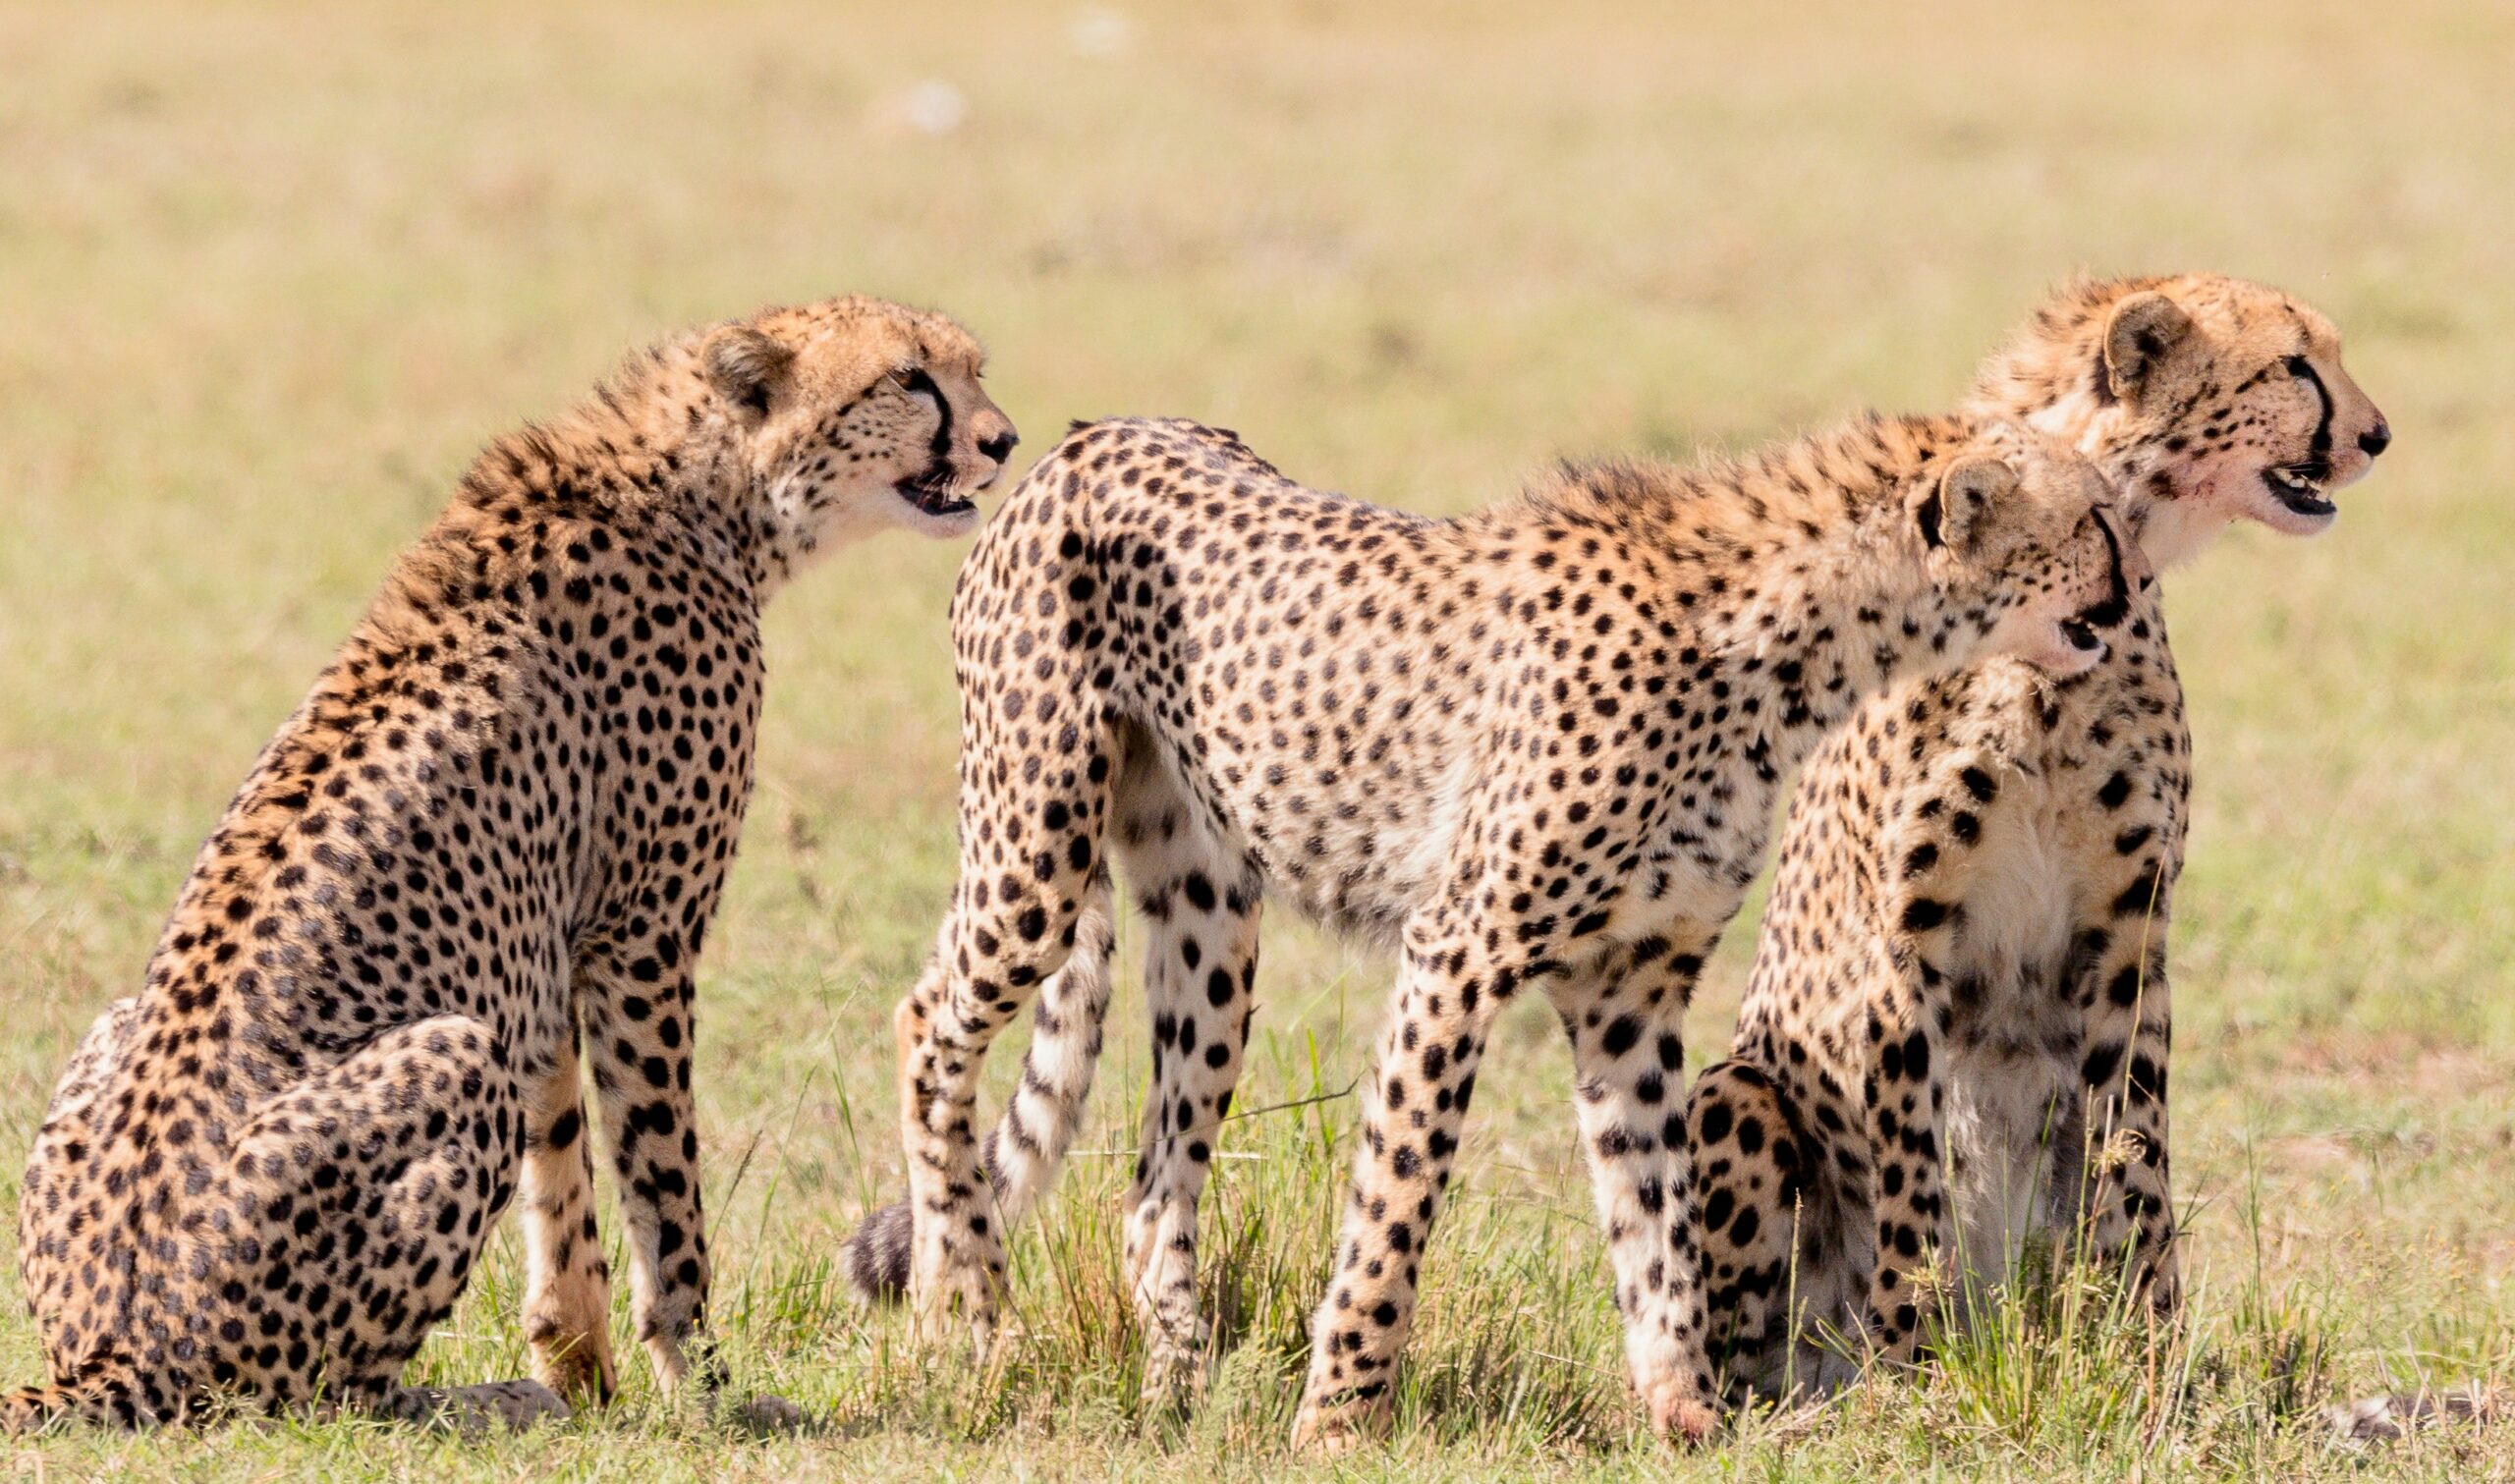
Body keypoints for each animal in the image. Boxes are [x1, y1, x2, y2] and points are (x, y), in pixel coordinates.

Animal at [5, 295, 1017, 1432]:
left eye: (971, 368)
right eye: (909, 379)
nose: (1002, 439)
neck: (701, 489)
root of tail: (105, 1350)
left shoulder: (545, 951)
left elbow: (562, 1155)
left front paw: (584, 1369)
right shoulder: (641, 937)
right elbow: (662, 1184)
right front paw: (703, 1390)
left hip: (118, 1024)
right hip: (447, 1061)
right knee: (310, 1395)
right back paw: (470, 1400)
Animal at [862, 407, 2137, 1450]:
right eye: (2092, 519)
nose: (2129, 601)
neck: (1788, 647)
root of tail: (1086, 438)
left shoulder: (1630, 985)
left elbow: (1653, 1213)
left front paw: (1681, 1406)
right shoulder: (1458, 952)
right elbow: (1397, 1199)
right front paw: (1339, 1419)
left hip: (1208, 917)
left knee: (1154, 1170)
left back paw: (1175, 1370)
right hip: (1035, 841)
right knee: (925, 1019)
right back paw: (962, 1305)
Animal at [1678, 274, 2389, 1402]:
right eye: (2293, 364)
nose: (2376, 434)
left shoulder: (2127, 931)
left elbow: (2133, 1150)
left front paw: (2147, 1351)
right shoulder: (1904, 938)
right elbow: (1911, 1169)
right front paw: (1914, 1367)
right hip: (1736, 1093)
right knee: (1755, 1335)